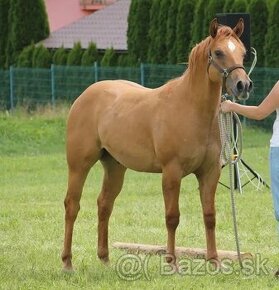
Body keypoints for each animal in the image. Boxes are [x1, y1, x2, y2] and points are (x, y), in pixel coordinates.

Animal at [61, 19, 254, 270]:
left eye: (242, 53)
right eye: (219, 52)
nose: (243, 85)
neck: (190, 108)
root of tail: (84, 96)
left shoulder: (210, 172)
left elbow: (209, 216)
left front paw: (214, 261)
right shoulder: (171, 172)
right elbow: (172, 217)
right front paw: (171, 262)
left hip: (114, 167)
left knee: (104, 205)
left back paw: (104, 258)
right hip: (79, 166)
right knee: (72, 206)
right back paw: (67, 262)